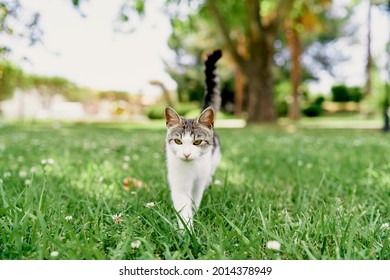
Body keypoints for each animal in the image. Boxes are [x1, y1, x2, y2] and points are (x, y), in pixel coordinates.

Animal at [164, 49, 222, 230]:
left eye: (197, 142)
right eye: (178, 141)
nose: (187, 154)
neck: (191, 168)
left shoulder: (199, 180)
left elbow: (196, 198)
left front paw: (195, 214)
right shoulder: (179, 182)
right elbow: (183, 205)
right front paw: (186, 230)